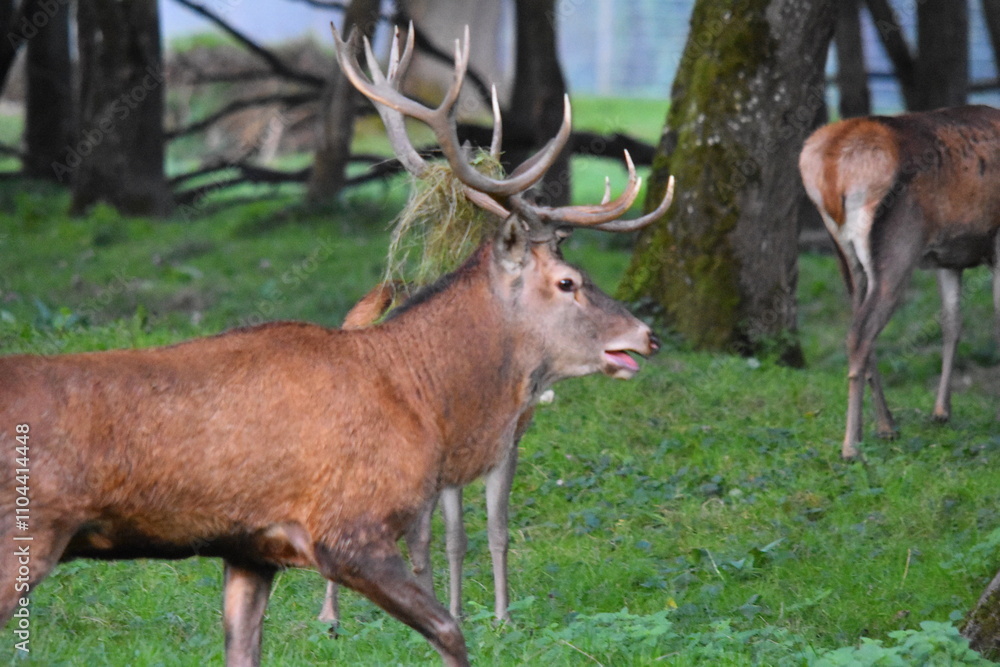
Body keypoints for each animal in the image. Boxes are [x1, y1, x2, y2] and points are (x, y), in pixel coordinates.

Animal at [0, 24, 673, 667]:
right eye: (568, 282)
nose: (647, 335)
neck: (422, 400)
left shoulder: (252, 548)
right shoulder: (350, 526)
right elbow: (450, 632)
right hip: (25, 535)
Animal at [799, 105, 1000, 460]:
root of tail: (831, 169)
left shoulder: (948, 259)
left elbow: (952, 323)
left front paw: (941, 411)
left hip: (846, 256)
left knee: (858, 327)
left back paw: (884, 425)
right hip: (899, 242)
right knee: (861, 334)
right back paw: (852, 445)